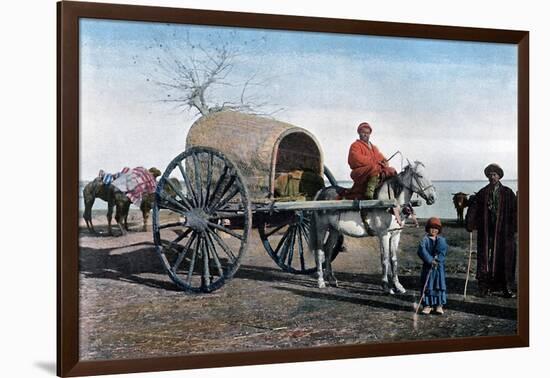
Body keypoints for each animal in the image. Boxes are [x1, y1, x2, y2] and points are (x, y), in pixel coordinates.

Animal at [310, 161, 436, 294]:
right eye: (419, 175)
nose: (433, 197)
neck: (390, 203)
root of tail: (321, 192)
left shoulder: (396, 234)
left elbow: (394, 259)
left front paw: (398, 285)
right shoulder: (384, 235)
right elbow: (385, 258)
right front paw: (386, 285)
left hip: (334, 230)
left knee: (328, 250)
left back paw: (332, 279)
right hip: (321, 228)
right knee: (319, 251)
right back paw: (321, 281)